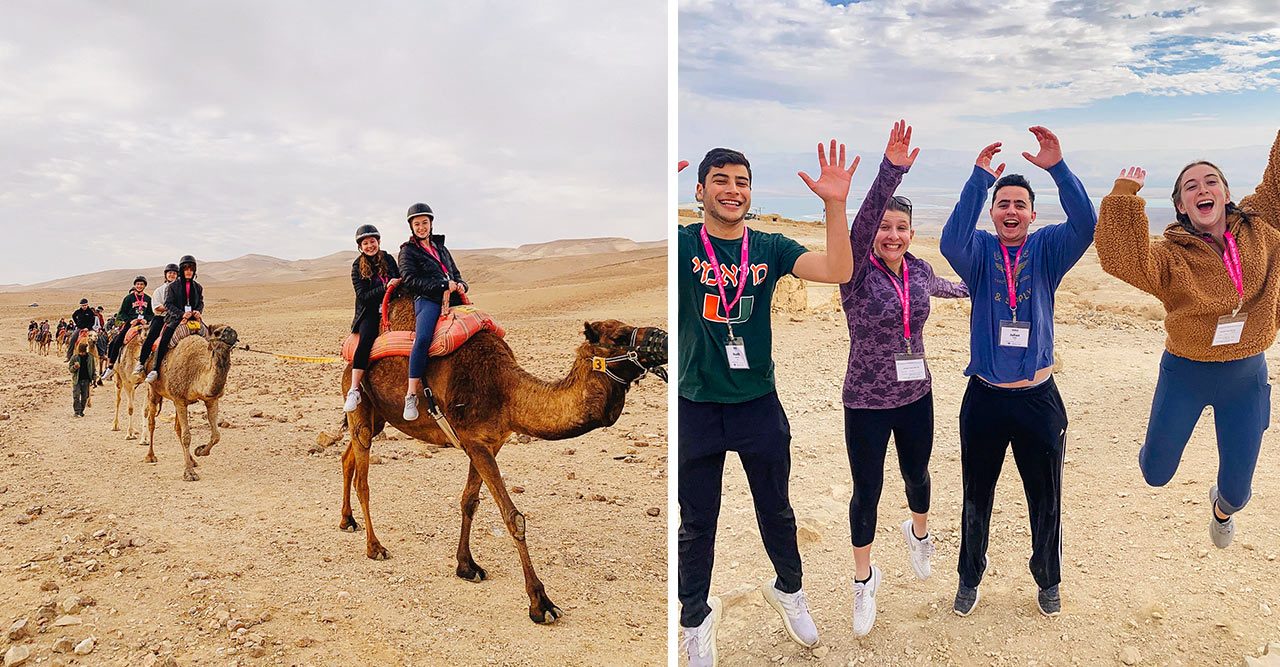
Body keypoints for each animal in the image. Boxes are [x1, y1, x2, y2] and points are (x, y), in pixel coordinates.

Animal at [144, 322, 239, 478]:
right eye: (217, 332)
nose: (231, 332)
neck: (197, 371)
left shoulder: (211, 399)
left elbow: (216, 435)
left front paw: (200, 451)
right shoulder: (179, 399)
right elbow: (186, 435)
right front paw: (189, 473)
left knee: (177, 428)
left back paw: (192, 460)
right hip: (154, 390)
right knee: (152, 421)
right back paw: (150, 456)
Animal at [337, 280, 670, 624]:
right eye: (618, 338)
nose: (665, 339)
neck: (506, 391)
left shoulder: (489, 443)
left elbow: (469, 502)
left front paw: (466, 566)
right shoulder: (474, 440)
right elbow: (514, 517)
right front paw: (540, 602)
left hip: (379, 416)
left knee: (347, 457)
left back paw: (347, 520)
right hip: (359, 400)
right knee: (363, 479)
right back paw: (375, 547)